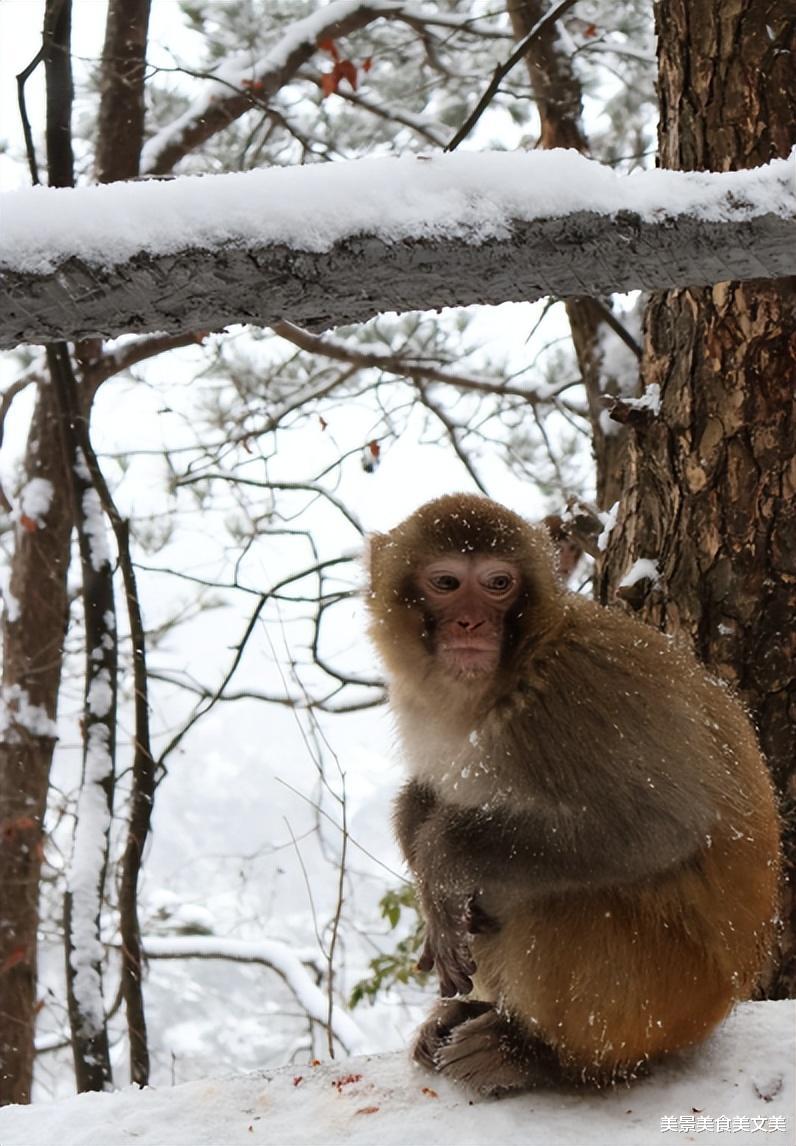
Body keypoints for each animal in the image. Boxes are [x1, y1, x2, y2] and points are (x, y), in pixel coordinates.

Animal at [371, 492, 783, 1090]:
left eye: (498, 583)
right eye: (446, 582)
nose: (471, 622)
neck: (512, 675)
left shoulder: (577, 697)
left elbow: (661, 825)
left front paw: (442, 856)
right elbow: (428, 796)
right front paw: (419, 842)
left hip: (669, 1000)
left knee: (559, 899)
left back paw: (536, 1052)